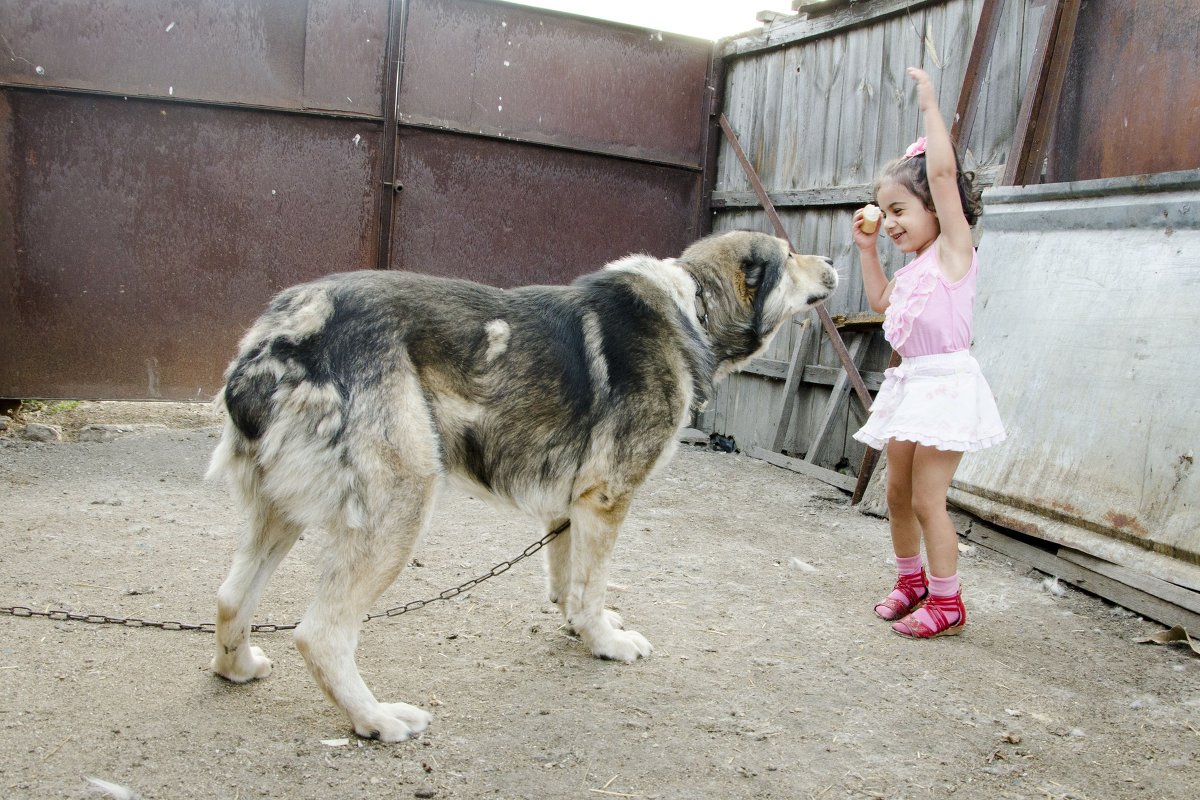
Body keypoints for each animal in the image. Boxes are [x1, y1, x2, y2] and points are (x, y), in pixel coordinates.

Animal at [208, 227, 835, 743]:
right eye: (789, 256)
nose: (831, 261)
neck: (695, 307)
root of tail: (271, 344)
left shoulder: (573, 504)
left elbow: (569, 582)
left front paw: (582, 627)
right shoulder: (607, 497)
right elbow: (591, 586)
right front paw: (605, 644)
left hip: (280, 513)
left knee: (231, 598)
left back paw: (239, 669)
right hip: (402, 504)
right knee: (321, 633)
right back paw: (377, 719)